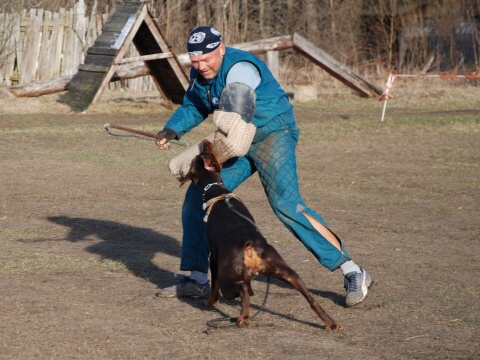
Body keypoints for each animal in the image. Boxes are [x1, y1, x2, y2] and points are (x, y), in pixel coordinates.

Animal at [181, 139, 342, 330]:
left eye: (205, 154)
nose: (205, 141)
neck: (216, 190)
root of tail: (249, 246)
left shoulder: (213, 254)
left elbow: (214, 285)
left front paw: (210, 302)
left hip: (228, 278)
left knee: (241, 290)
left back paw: (244, 317)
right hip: (287, 272)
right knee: (311, 298)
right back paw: (331, 322)